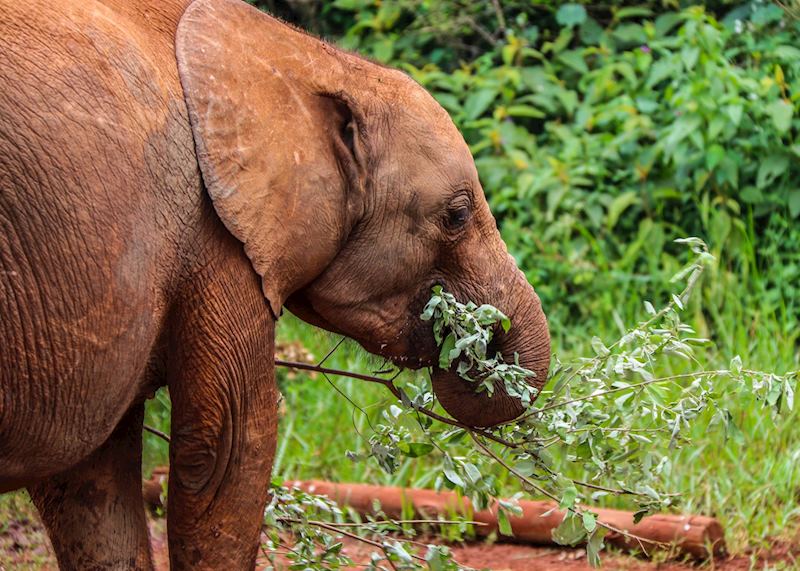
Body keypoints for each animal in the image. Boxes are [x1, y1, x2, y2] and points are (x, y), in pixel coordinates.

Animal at [0, 0, 550, 568]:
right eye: (457, 216)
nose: (471, 343)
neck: (307, 58)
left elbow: (90, 481)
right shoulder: (215, 238)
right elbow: (228, 446)